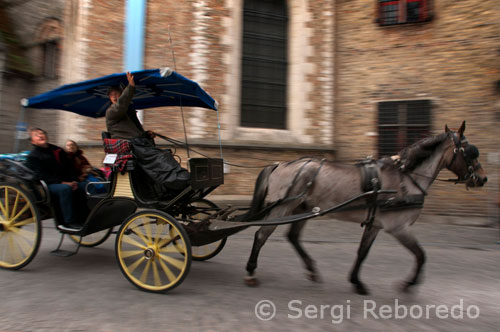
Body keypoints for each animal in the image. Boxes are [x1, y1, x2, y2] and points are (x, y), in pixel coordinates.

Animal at [244, 122, 486, 296]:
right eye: (470, 152)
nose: (482, 179)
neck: (406, 178)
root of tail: (279, 164)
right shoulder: (399, 227)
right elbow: (421, 255)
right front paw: (408, 284)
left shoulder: (375, 224)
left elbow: (363, 252)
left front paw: (357, 282)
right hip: (282, 208)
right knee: (261, 235)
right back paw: (251, 271)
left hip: (302, 208)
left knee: (293, 237)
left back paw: (311, 270)